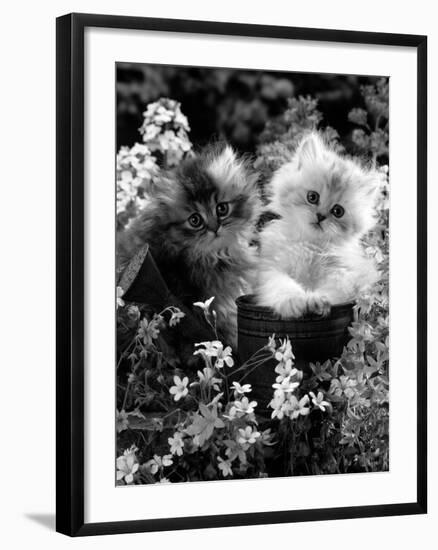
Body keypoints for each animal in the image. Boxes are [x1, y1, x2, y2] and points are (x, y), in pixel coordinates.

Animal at [255, 132, 382, 320]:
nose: (320, 216)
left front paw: (316, 300)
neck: (310, 244)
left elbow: (333, 290)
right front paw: (295, 302)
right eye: (312, 197)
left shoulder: (346, 275)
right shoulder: (271, 269)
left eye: (338, 211)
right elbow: (283, 285)